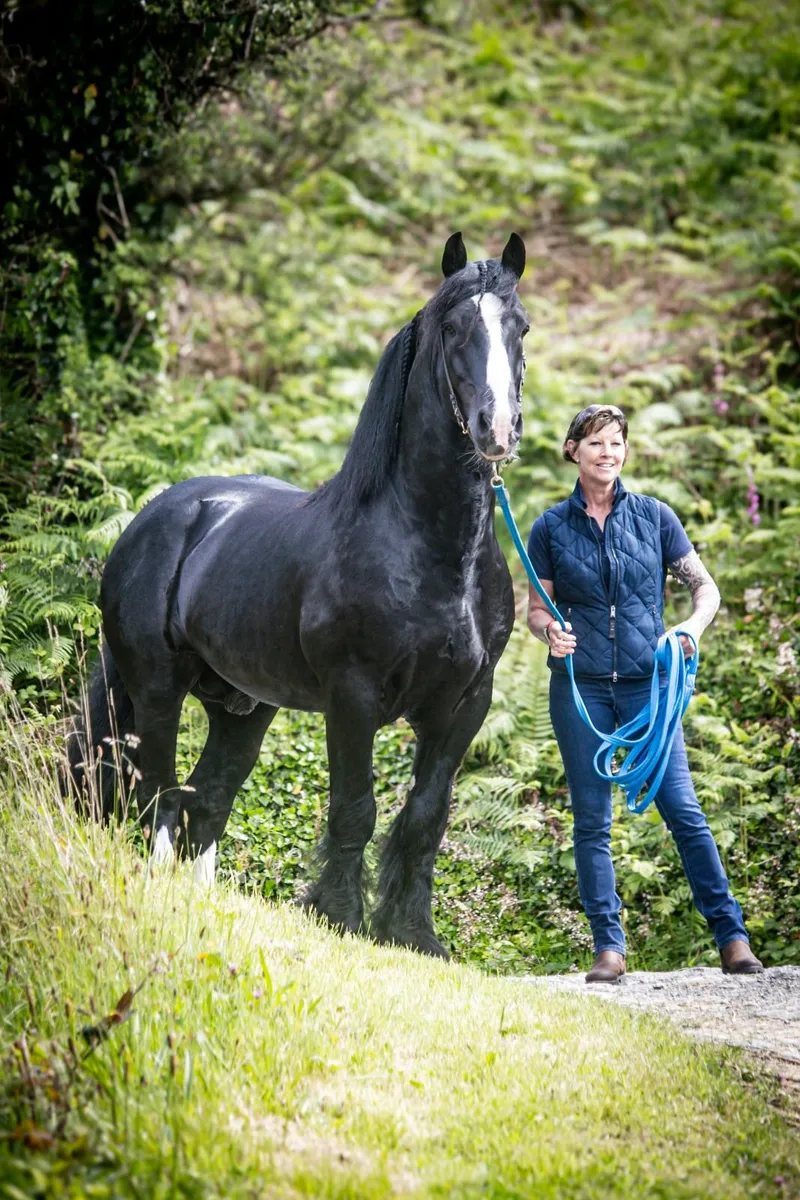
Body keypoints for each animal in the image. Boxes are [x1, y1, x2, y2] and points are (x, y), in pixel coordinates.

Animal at [67, 231, 529, 958]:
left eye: (521, 327)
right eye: (455, 328)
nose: (496, 428)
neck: (430, 550)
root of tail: (151, 520)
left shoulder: (463, 706)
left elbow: (425, 818)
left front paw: (413, 935)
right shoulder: (353, 697)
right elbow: (355, 809)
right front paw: (339, 917)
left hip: (242, 708)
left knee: (207, 800)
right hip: (157, 692)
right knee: (156, 792)